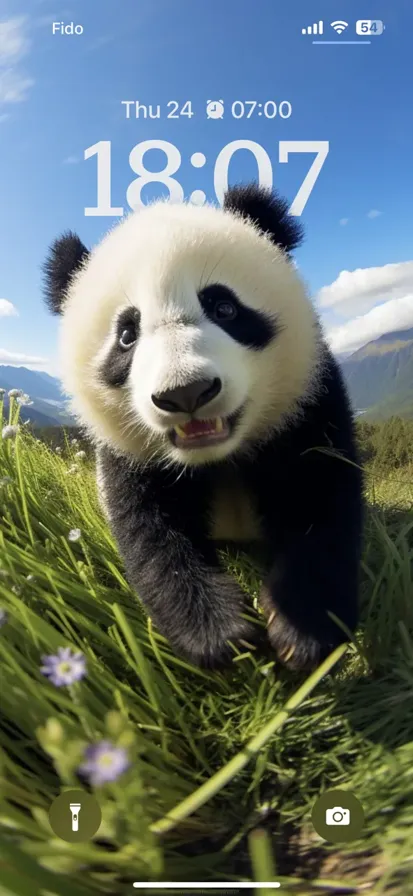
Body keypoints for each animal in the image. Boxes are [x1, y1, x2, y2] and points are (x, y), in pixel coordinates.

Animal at [43, 186, 362, 668]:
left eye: (224, 307)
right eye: (126, 335)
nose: (186, 394)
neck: (217, 454)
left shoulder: (308, 400)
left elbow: (320, 491)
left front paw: (302, 630)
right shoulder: (128, 450)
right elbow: (148, 528)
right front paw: (221, 634)